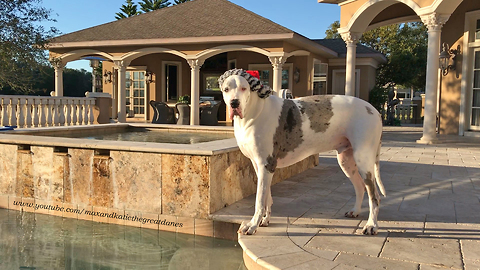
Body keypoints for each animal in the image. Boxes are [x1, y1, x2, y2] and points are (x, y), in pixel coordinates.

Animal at [219, 69, 384, 234]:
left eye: (243, 88)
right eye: (226, 89)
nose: (234, 103)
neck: (255, 111)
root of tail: (374, 110)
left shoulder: (266, 164)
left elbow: (259, 200)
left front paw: (252, 225)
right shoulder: (259, 165)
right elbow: (267, 197)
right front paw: (264, 220)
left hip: (364, 160)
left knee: (374, 195)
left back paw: (371, 225)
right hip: (346, 161)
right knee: (360, 187)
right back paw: (355, 211)